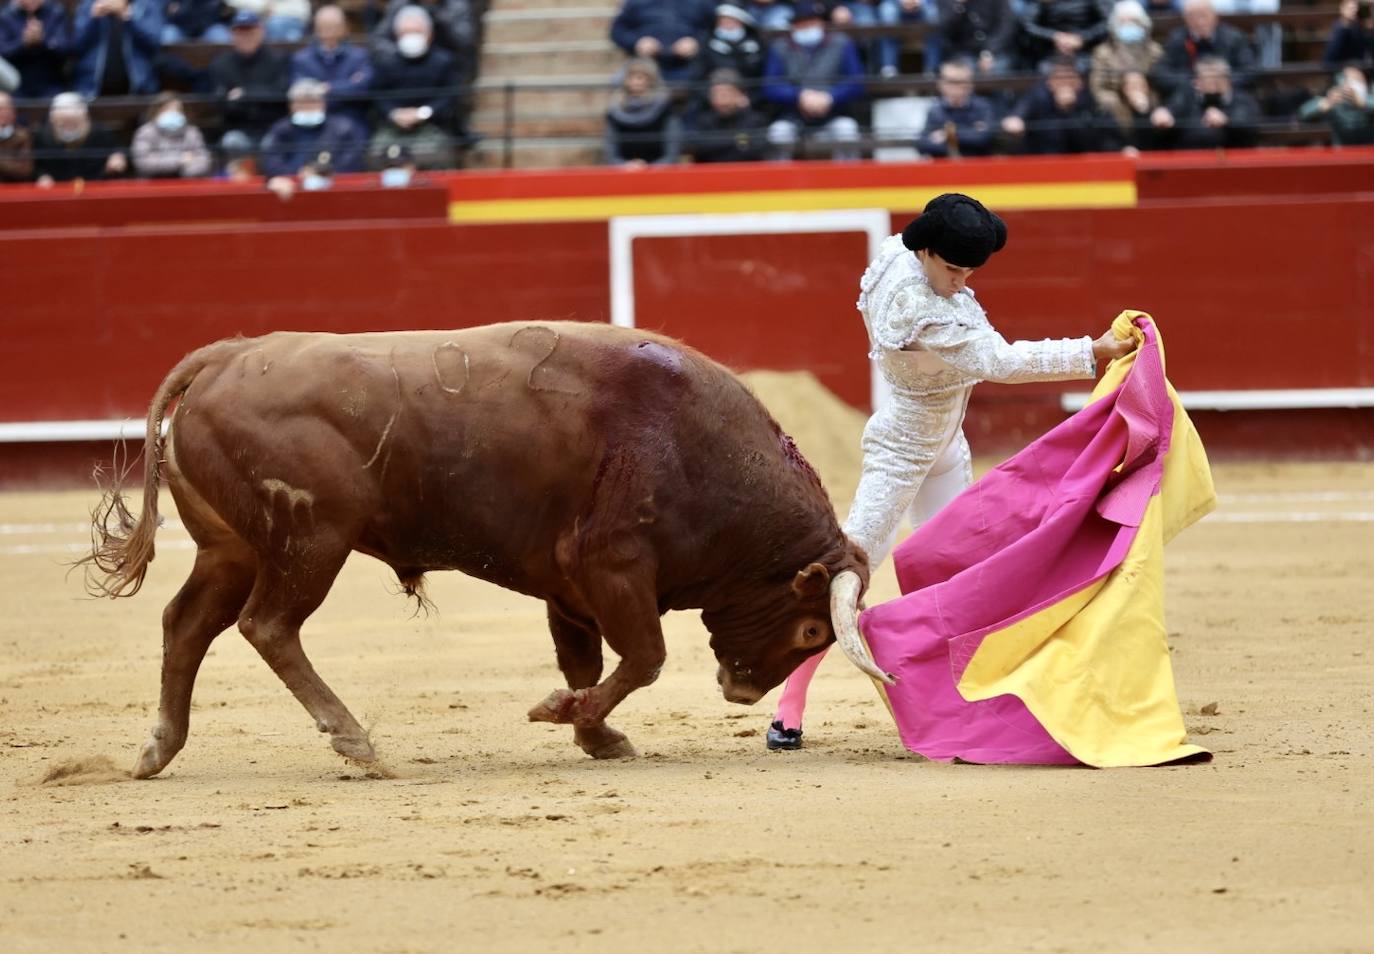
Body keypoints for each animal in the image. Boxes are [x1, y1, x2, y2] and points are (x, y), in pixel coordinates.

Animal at [83, 321, 890, 775]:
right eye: (811, 630)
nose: (741, 693)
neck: (699, 453)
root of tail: (227, 357)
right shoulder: (614, 568)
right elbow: (645, 657)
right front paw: (568, 716)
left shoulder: (571, 590)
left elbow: (590, 662)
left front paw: (593, 730)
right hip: (310, 541)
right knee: (268, 626)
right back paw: (354, 741)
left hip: (232, 549)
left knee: (187, 624)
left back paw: (159, 749)